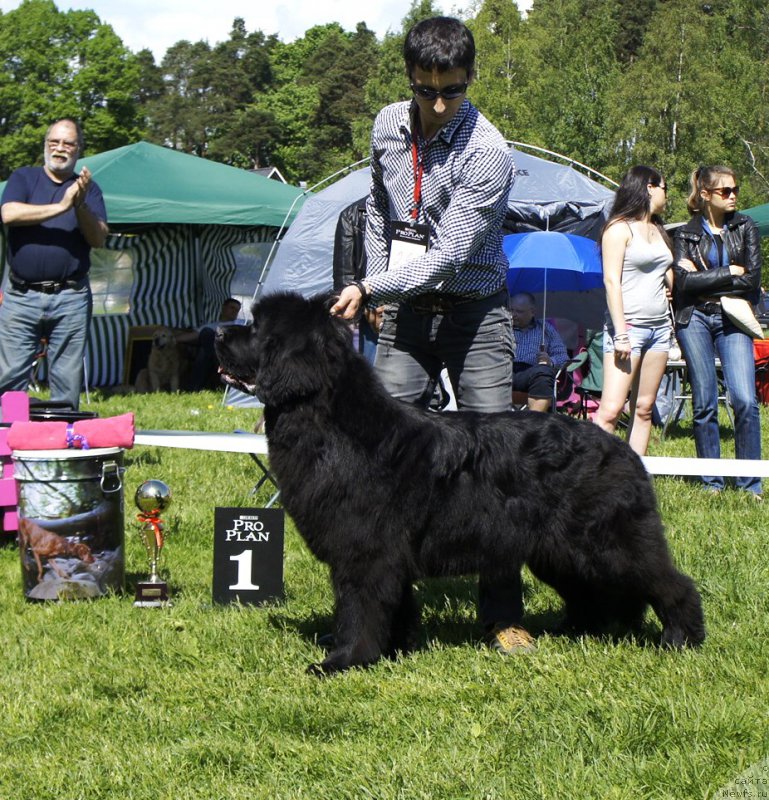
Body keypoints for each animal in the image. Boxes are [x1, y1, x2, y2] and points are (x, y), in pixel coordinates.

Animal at [213, 290, 704, 672]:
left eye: (256, 330)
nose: (217, 332)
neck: (331, 422)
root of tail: (623, 449)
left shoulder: (364, 552)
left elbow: (357, 610)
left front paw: (341, 661)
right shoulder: (389, 556)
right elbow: (393, 606)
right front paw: (393, 649)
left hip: (607, 541)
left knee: (668, 582)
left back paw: (681, 639)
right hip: (559, 550)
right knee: (592, 593)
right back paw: (573, 631)